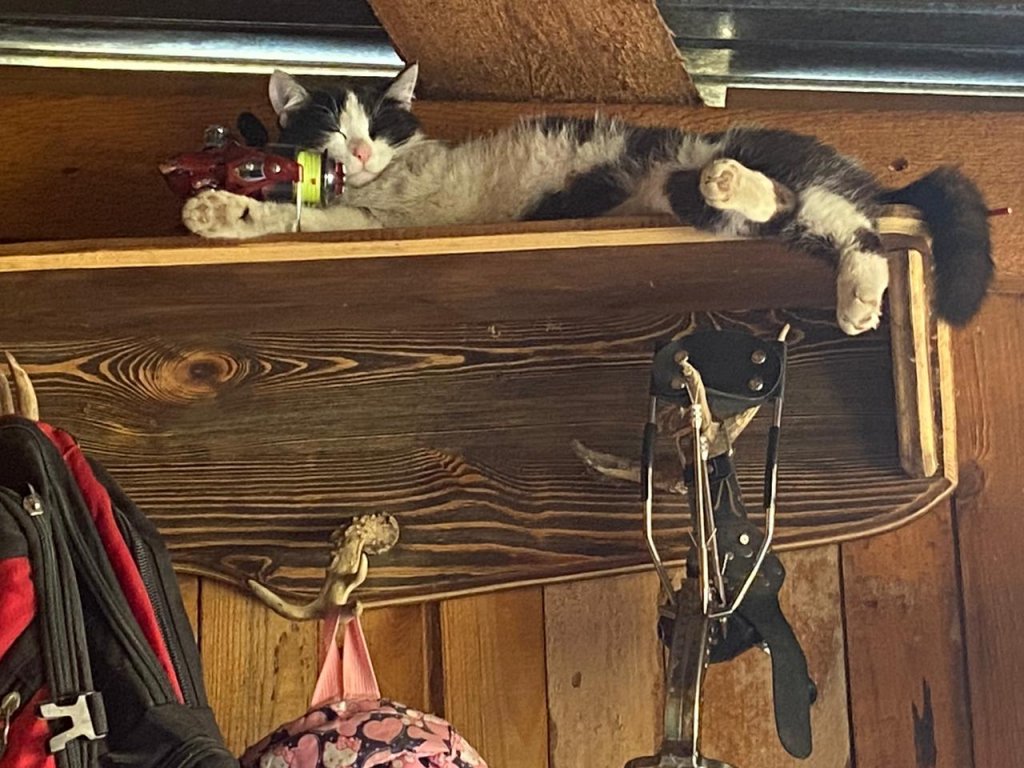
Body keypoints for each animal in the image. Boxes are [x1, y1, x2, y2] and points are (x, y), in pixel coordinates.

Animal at [182, 64, 993, 335]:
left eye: (379, 125)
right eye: (331, 126)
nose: (355, 152)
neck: (387, 188)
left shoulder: (393, 213)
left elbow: (314, 214)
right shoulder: (368, 216)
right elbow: (291, 215)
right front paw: (220, 210)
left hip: (729, 158)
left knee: (832, 210)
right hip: (699, 206)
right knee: (818, 220)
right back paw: (854, 298)